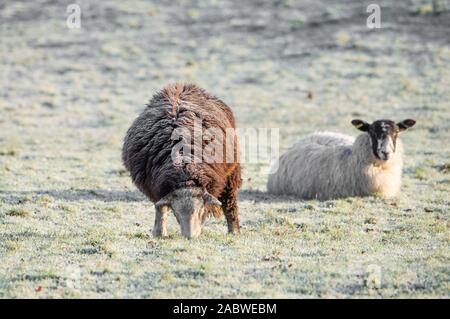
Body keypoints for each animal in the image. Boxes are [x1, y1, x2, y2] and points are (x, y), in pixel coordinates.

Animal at [122, 84, 243, 239]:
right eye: (176, 213)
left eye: (201, 210)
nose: (190, 237)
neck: (185, 173)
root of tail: (181, 86)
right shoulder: (157, 189)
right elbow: (161, 207)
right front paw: (159, 233)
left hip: (231, 174)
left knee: (230, 202)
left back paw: (234, 230)